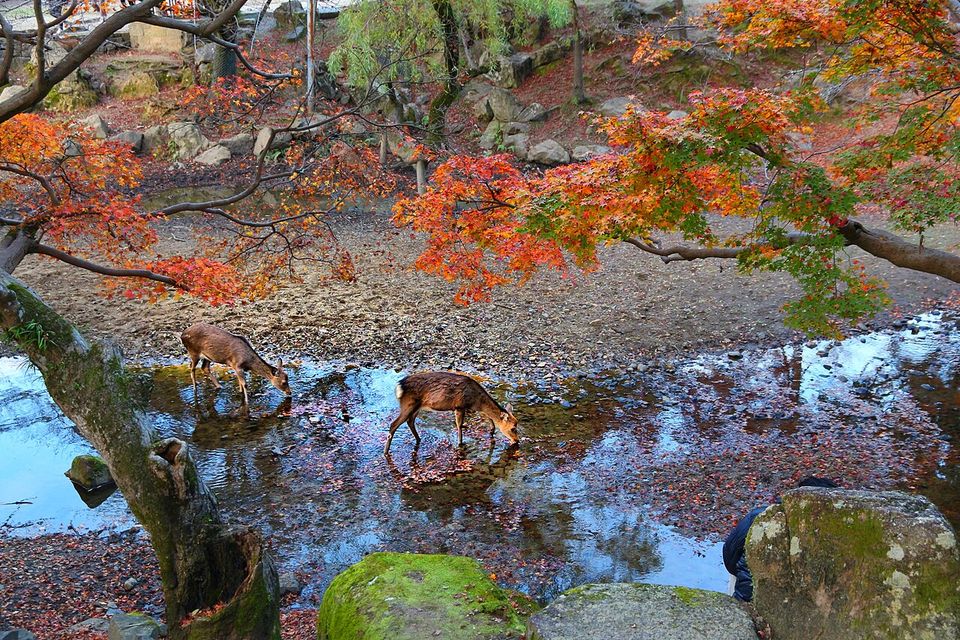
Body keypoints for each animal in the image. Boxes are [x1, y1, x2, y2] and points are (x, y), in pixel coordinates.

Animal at [384, 371, 519, 455]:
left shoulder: (470, 408)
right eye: (513, 428)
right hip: (408, 405)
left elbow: (487, 418)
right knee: (394, 424)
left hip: (416, 407)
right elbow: (459, 426)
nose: (517, 441)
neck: (476, 401)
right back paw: (386, 452)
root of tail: (399, 386)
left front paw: (491, 431)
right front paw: (460, 443)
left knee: (410, 421)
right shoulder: (459, 406)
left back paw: (418, 439)